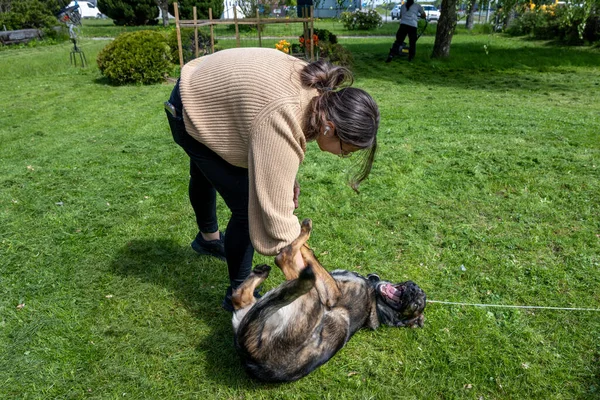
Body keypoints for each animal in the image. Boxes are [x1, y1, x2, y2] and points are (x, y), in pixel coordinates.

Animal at [230, 220, 426, 382]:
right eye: (418, 293)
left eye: (417, 304)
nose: (414, 289)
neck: (376, 300)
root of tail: (250, 358)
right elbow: (310, 255)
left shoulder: (331, 294)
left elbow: (303, 258)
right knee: (239, 297)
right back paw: (261, 273)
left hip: (311, 299)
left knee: (285, 261)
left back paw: (303, 233)